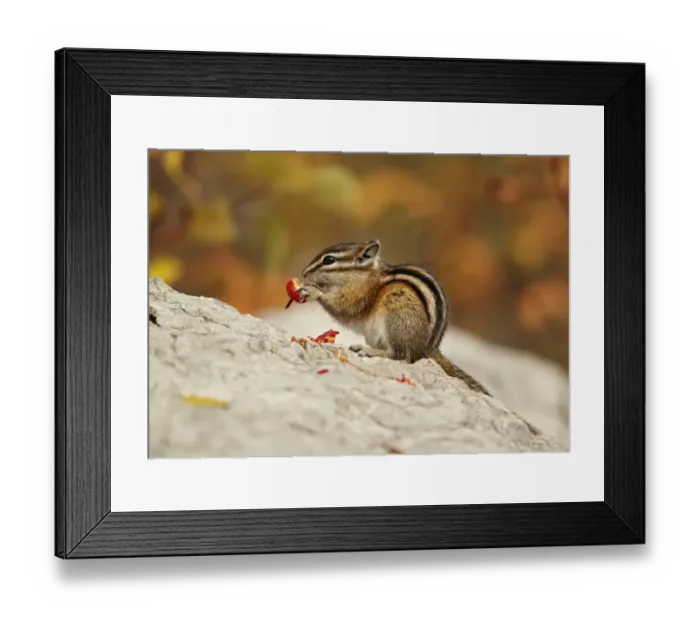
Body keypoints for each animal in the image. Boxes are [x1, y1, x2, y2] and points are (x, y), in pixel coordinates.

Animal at [295, 239, 493, 396]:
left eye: (329, 260)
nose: (304, 272)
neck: (363, 276)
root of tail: (429, 348)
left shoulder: (359, 296)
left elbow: (343, 307)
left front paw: (312, 291)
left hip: (397, 312)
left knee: (400, 355)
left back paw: (369, 351)